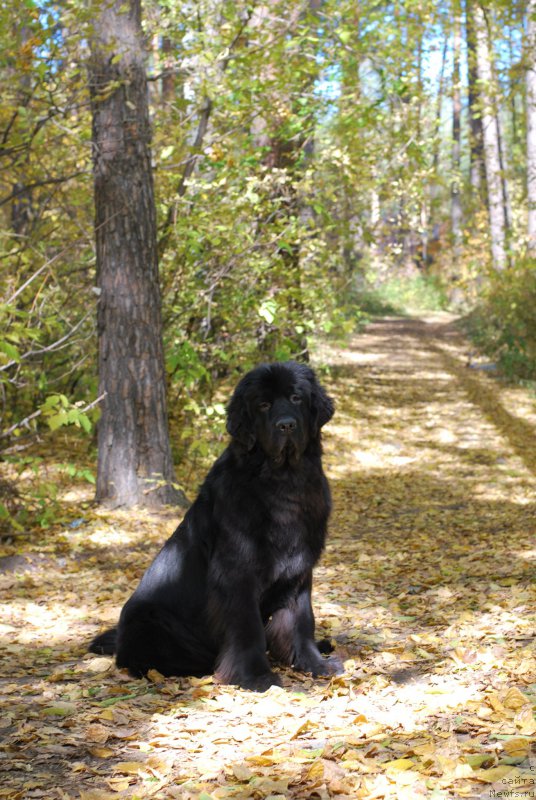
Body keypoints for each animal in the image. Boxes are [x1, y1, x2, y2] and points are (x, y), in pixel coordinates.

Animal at [89, 360, 342, 692]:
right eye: (263, 405)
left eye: (296, 398)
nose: (286, 425)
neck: (284, 481)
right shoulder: (237, 573)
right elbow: (248, 628)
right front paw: (255, 677)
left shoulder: (298, 571)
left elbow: (301, 621)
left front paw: (314, 664)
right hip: (150, 619)